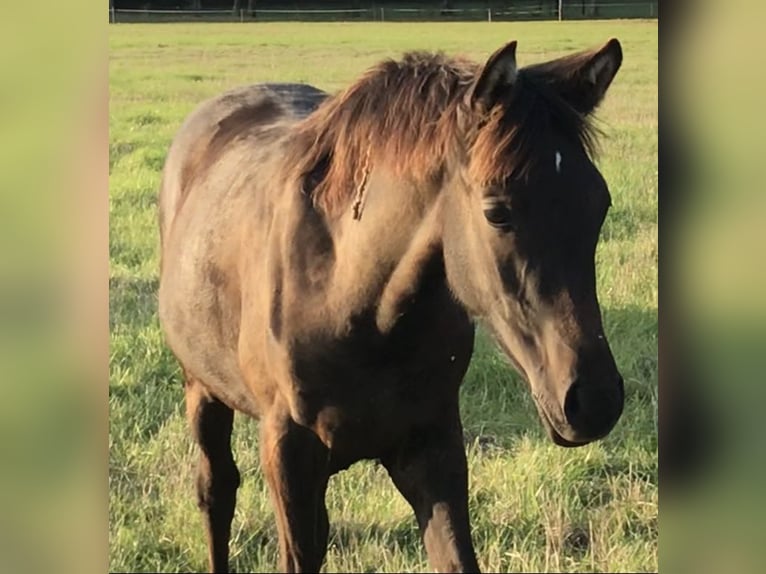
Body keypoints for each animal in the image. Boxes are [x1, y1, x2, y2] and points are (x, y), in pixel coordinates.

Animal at [157, 38, 625, 573]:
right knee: (216, 491)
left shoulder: (432, 445)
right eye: (496, 212)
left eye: (599, 203)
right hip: (202, 389)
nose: (595, 401)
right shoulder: (287, 450)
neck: (353, 302)